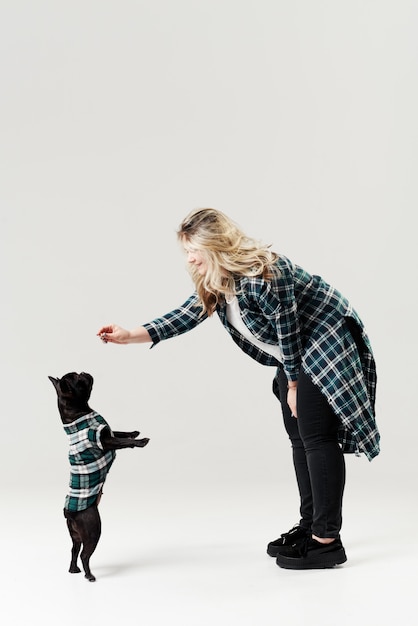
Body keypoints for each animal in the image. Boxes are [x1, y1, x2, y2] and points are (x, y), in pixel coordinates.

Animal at [48, 370, 149, 580]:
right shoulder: (106, 441)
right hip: (93, 529)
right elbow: (123, 441)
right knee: (85, 554)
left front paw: (134, 432)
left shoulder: (108, 433)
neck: (79, 413)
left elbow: (121, 432)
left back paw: (73, 570)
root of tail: (68, 513)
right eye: (77, 380)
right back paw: (89, 575)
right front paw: (141, 441)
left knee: (74, 550)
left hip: (75, 535)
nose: (83, 372)